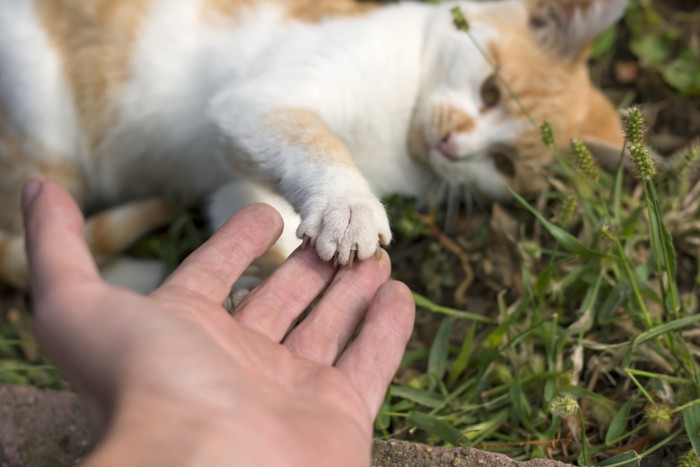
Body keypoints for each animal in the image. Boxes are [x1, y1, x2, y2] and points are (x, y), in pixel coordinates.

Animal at [0, 0, 624, 290]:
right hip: (45, 123)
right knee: (26, 246)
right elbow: (312, 139)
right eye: (491, 90)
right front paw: (348, 206)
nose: (452, 145)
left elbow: (252, 213)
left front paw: (258, 281)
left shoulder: (236, 182)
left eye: (503, 163)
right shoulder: (255, 102)